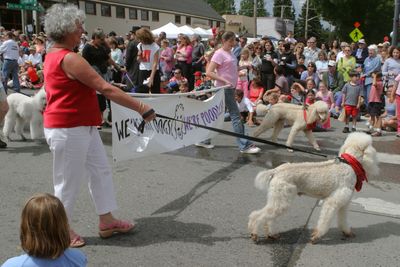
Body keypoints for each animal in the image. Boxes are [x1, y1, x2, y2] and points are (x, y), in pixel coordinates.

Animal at [248, 132, 380, 245]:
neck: (349, 164)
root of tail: (276, 171)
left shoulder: (343, 203)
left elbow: (343, 220)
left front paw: (347, 232)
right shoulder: (332, 202)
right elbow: (325, 220)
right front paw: (316, 236)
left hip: (278, 199)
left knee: (269, 217)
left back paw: (271, 234)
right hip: (282, 199)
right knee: (258, 215)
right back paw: (254, 233)